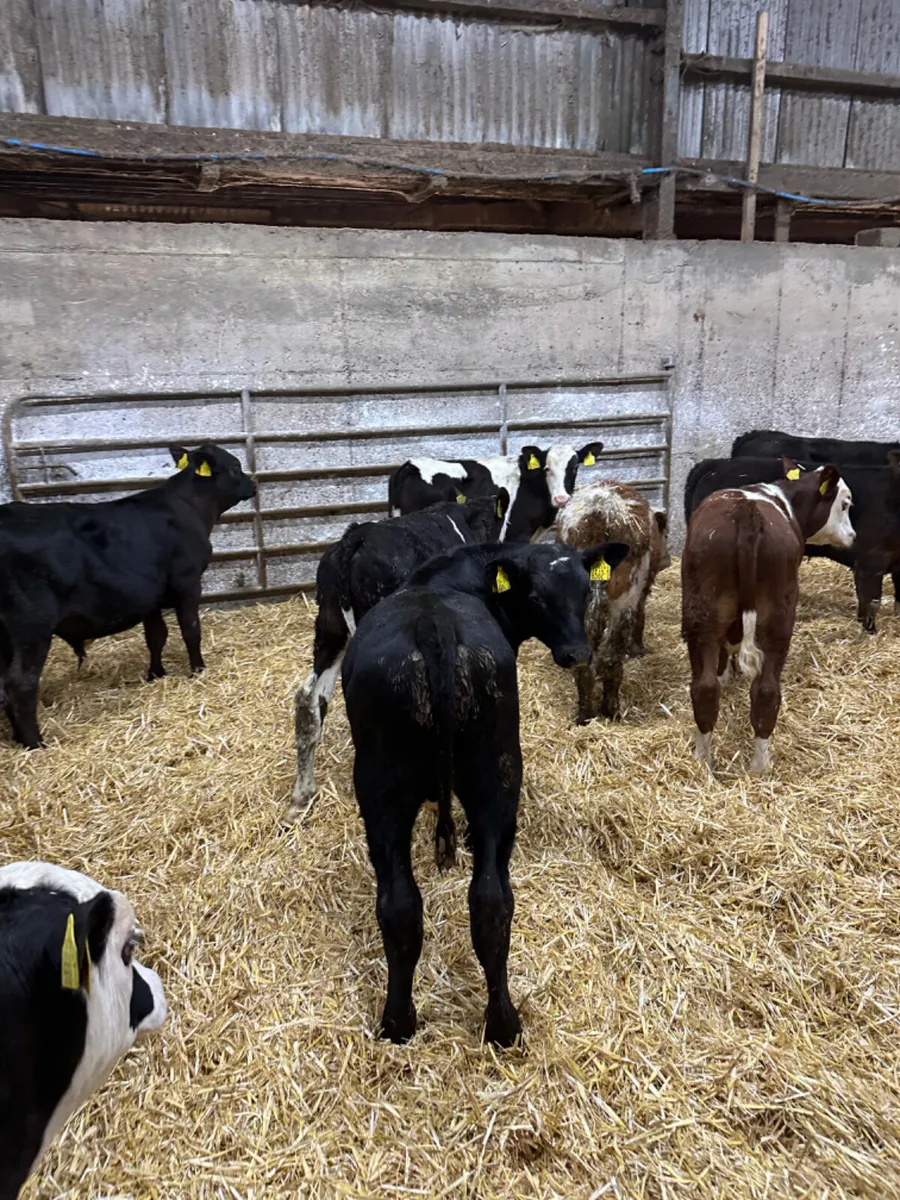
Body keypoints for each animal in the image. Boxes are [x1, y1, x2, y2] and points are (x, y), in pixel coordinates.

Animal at [0, 444, 255, 749]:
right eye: (235, 466)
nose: (253, 484)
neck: (191, 507)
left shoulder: (151, 596)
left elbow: (156, 636)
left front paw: (156, 675)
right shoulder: (188, 583)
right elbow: (191, 631)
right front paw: (198, 669)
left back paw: (18, 737)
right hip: (32, 625)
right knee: (20, 682)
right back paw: (35, 743)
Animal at [342, 538, 628, 1046]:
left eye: (584, 592)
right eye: (536, 596)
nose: (578, 653)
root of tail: (433, 627)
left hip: (394, 788)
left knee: (425, 901)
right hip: (480, 778)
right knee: (477, 901)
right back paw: (479, 1024)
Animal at [555, 481, 670, 723]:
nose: (667, 560)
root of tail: (600, 512)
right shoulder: (641, 591)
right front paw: (637, 650)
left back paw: (585, 714)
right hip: (626, 594)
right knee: (611, 654)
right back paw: (611, 710)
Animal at [681, 464, 855, 774]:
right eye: (845, 504)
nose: (853, 535)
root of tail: (747, 514)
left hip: (706, 612)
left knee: (708, 688)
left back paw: (705, 760)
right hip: (778, 614)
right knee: (766, 690)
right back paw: (760, 764)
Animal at [686, 454, 900, 632]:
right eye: (845, 504)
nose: (852, 535)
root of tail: (716, 463)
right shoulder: (870, 561)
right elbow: (870, 601)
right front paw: (869, 633)